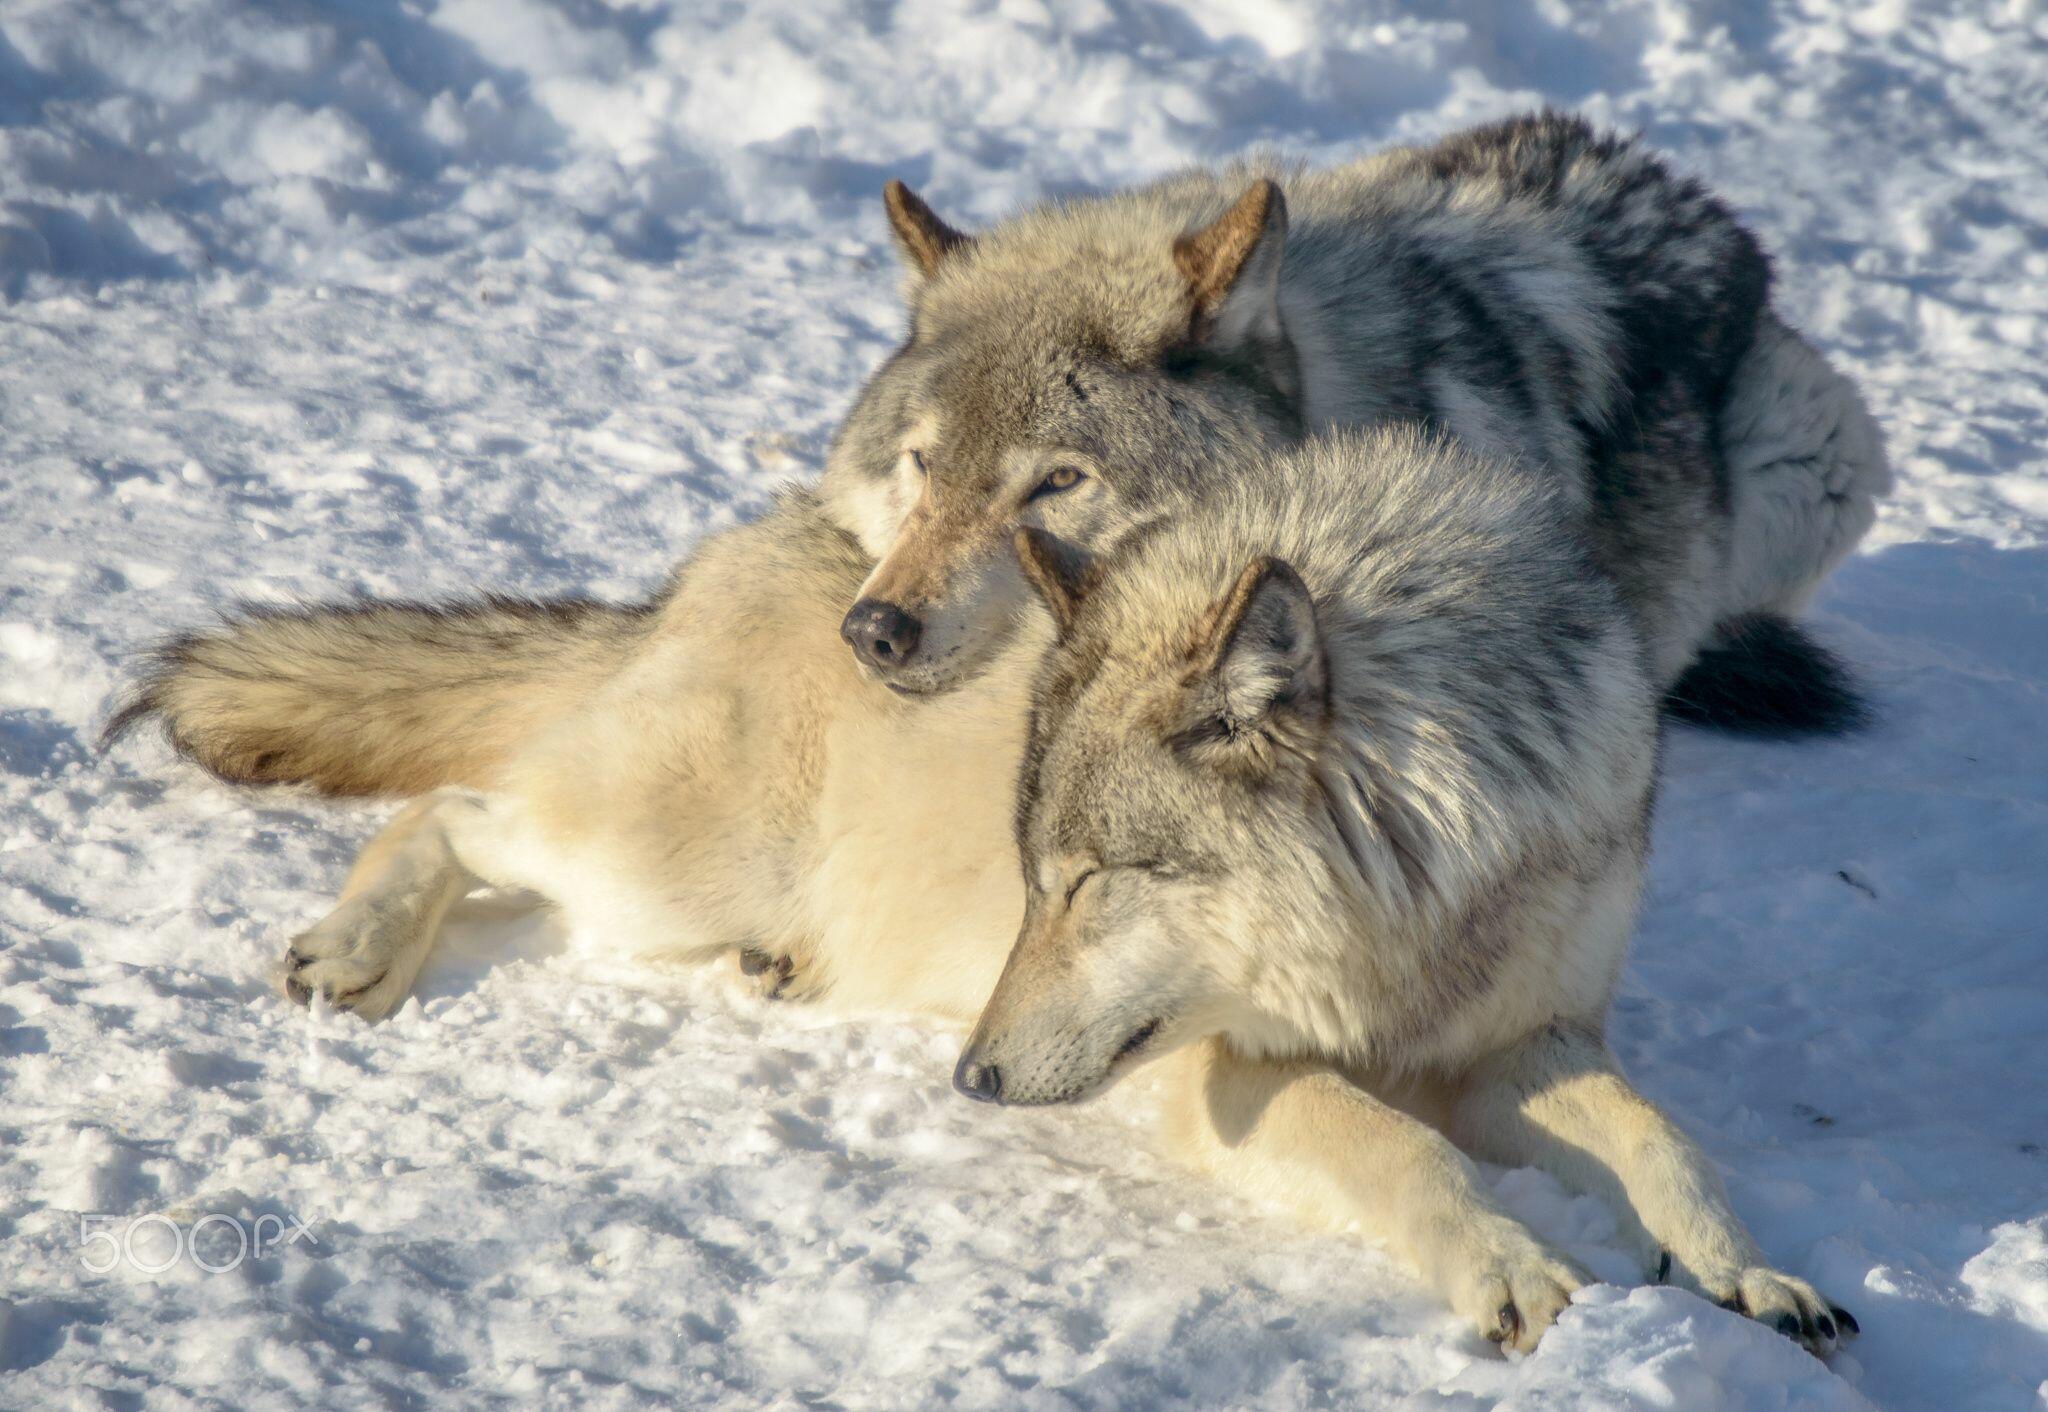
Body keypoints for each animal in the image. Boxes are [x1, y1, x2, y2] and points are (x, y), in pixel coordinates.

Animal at [103, 426, 1851, 1352]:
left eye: (1095, 884)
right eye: (1038, 883)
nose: (976, 1081)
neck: (1411, 916)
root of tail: (718, 560)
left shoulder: (1524, 1038)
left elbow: (1659, 1138)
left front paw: (1754, 1275)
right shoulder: (1225, 1069)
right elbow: (1397, 1149)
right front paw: (1517, 1271)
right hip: (661, 859)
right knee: (456, 815)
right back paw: (353, 949)